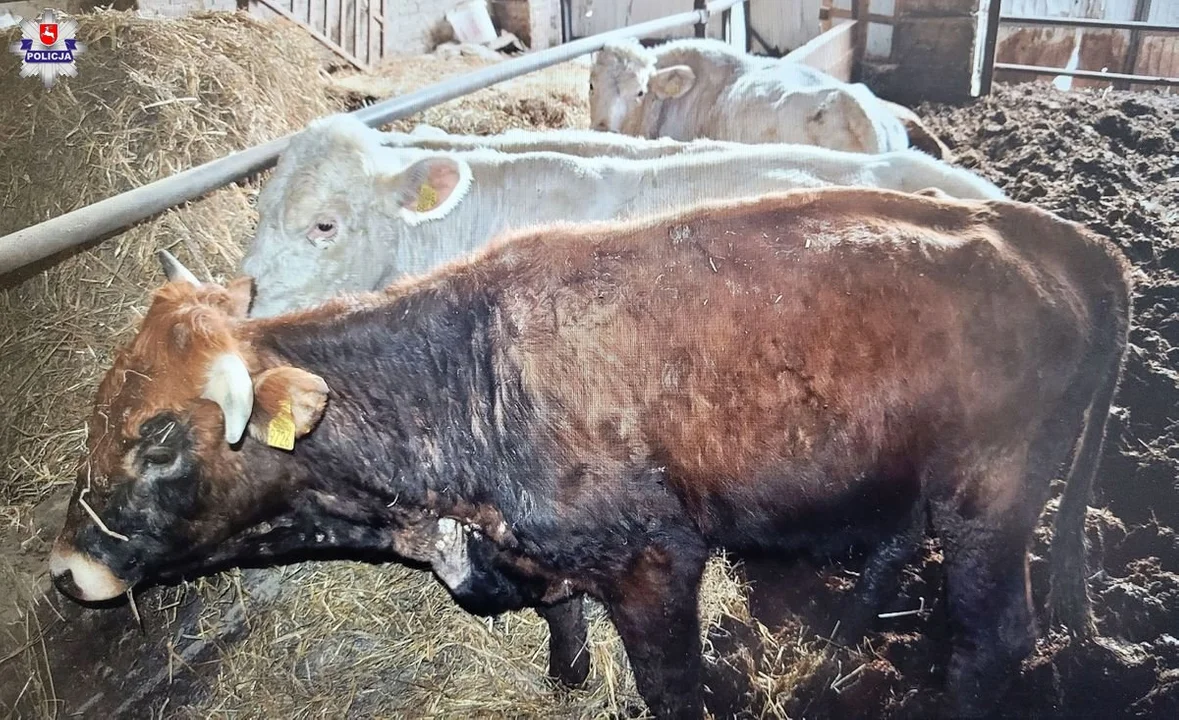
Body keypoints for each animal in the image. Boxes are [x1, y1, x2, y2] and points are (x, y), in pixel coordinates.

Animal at [48, 188, 1131, 716]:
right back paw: (837, 647)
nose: (64, 570)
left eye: (159, 440)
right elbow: (563, 627)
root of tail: (1064, 238)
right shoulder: (540, 555)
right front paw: (566, 679)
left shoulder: (658, 563)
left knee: (997, 639)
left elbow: (673, 685)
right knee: (900, 546)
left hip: (992, 499)